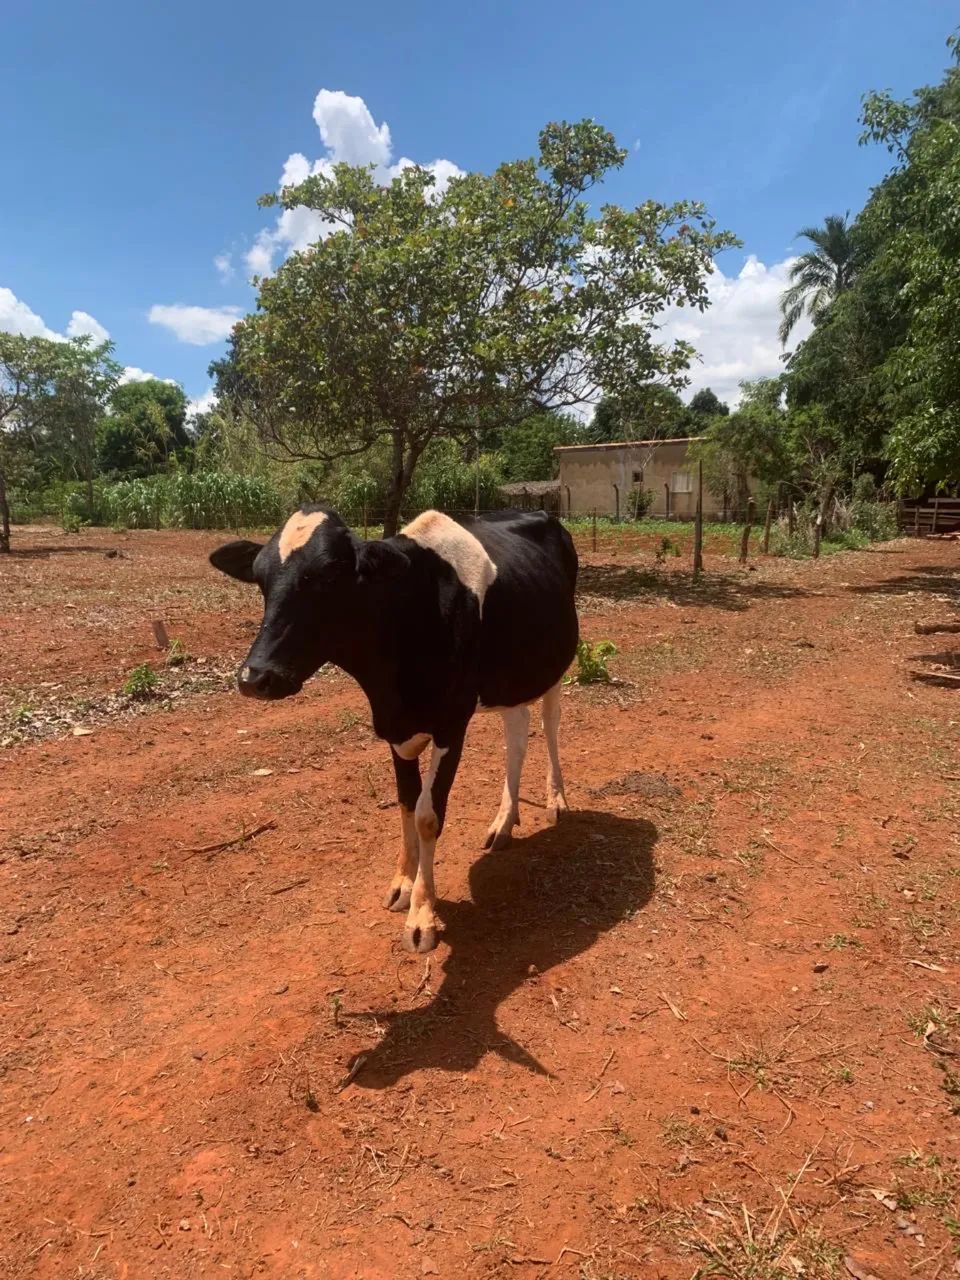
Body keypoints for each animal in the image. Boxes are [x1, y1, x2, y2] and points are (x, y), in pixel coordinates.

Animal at [209, 505, 579, 954]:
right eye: (260, 580)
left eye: (328, 576)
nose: (255, 676)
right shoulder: (394, 727)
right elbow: (405, 803)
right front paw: (403, 883)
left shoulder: (451, 724)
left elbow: (428, 815)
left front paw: (422, 914)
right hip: (510, 678)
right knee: (517, 734)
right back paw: (503, 823)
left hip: (553, 664)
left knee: (549, 724)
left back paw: (556, 800)